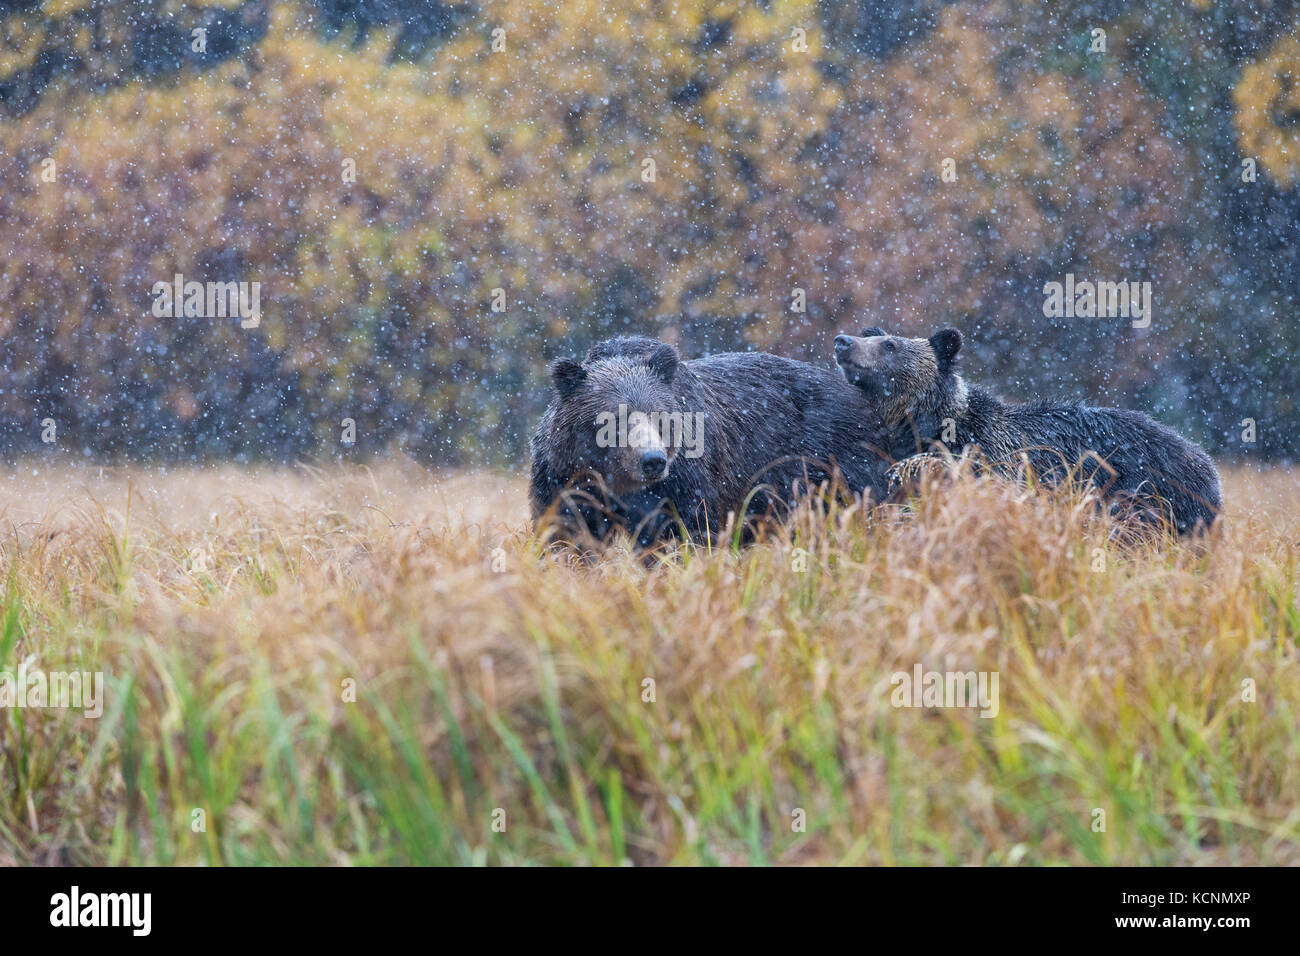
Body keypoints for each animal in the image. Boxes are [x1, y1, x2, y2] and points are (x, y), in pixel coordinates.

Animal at [530, 335, 894, 546]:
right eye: (614, 420)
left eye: (659, 417)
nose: (652, 461)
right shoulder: (563, 478)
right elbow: (565, 532)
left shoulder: (683, 480)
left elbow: (681, 532)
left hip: (833, 464)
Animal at [832, 327, 1216, 535]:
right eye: (879, 337)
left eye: (890, 346)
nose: (843, 341)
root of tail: (1206, 463)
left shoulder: (989, 463)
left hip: (1156, 500)